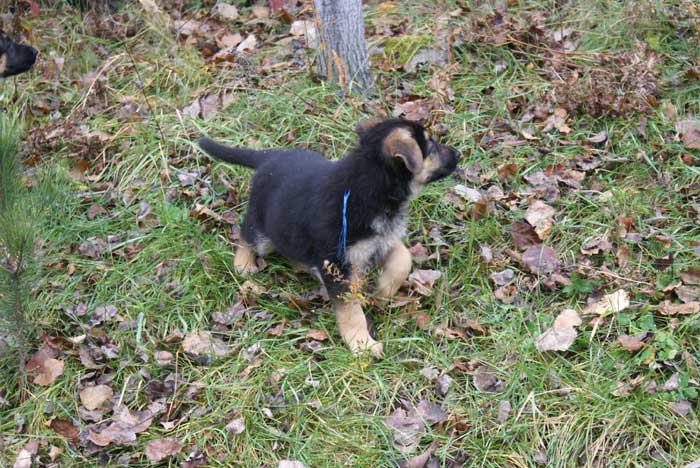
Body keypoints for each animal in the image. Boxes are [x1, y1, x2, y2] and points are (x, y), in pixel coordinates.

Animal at [197, 119, 460, 354]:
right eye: (431, 146)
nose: (458, 153)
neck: (370, 186)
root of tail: (268, 158)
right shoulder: (338, 265)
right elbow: (351, 311)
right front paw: (362, 344)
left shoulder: (380, 242)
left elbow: (403, 259)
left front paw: (383, 292)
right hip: (266, 230)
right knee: (247, 233)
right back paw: (243, 263)